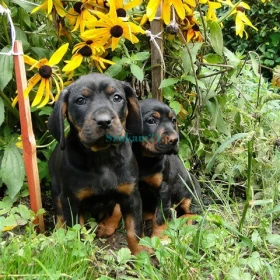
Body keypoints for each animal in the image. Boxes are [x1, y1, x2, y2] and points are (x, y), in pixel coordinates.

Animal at [47, 73, 147, 255]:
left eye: (117, 97)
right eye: (80, 100)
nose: (104, 121)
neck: (102, 157)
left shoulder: (132, 195)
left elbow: (133, 230)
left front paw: (140, 254)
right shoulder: (71, 200)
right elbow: (77, 232)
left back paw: (106, 225)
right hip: (56, 188)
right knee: (59, 213)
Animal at [132, 98, 200, 236]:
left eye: (173, 120)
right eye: (151, 121)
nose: (175, 139)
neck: (144, 160)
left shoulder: (163, 189)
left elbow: (159, 219)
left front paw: (159, 237)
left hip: (190, 195)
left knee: (193, 213)